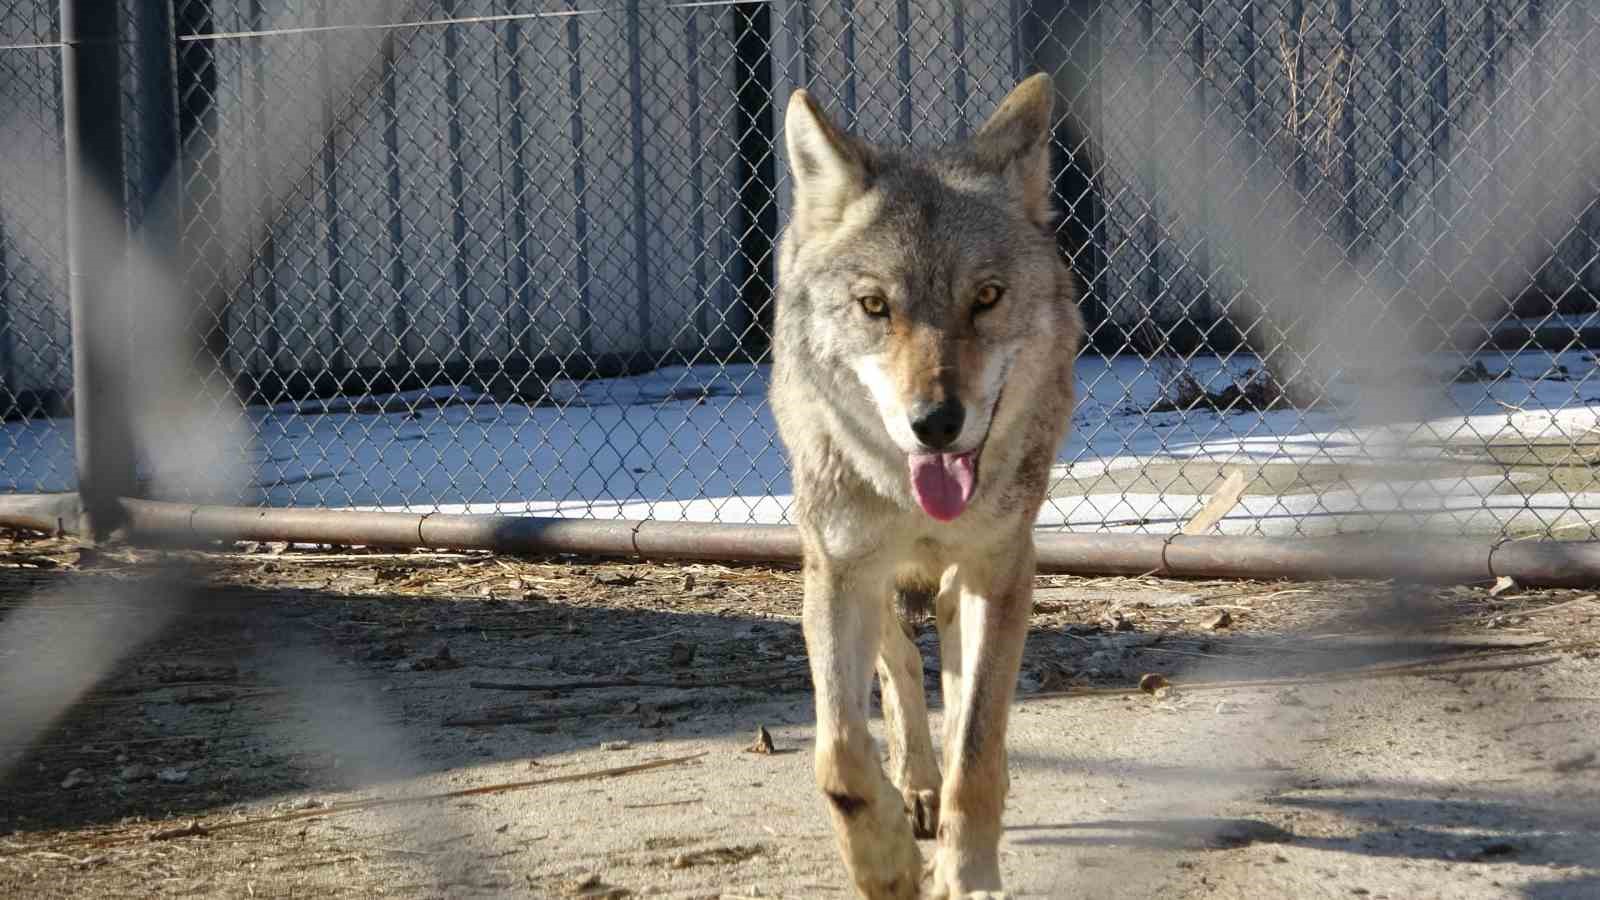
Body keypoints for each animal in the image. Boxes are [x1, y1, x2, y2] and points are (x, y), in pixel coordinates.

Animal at [768, 73, 1081, 890]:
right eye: (876, 306)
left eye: (987, 297)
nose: (936, 424)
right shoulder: (839, 568)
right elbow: (841, 754)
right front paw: (887, 867)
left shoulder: (1001, 565)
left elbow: (976, 749)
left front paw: (967, 877)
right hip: (856, 565)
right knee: (899, 662)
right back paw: (914, 787)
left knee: (951, 658)